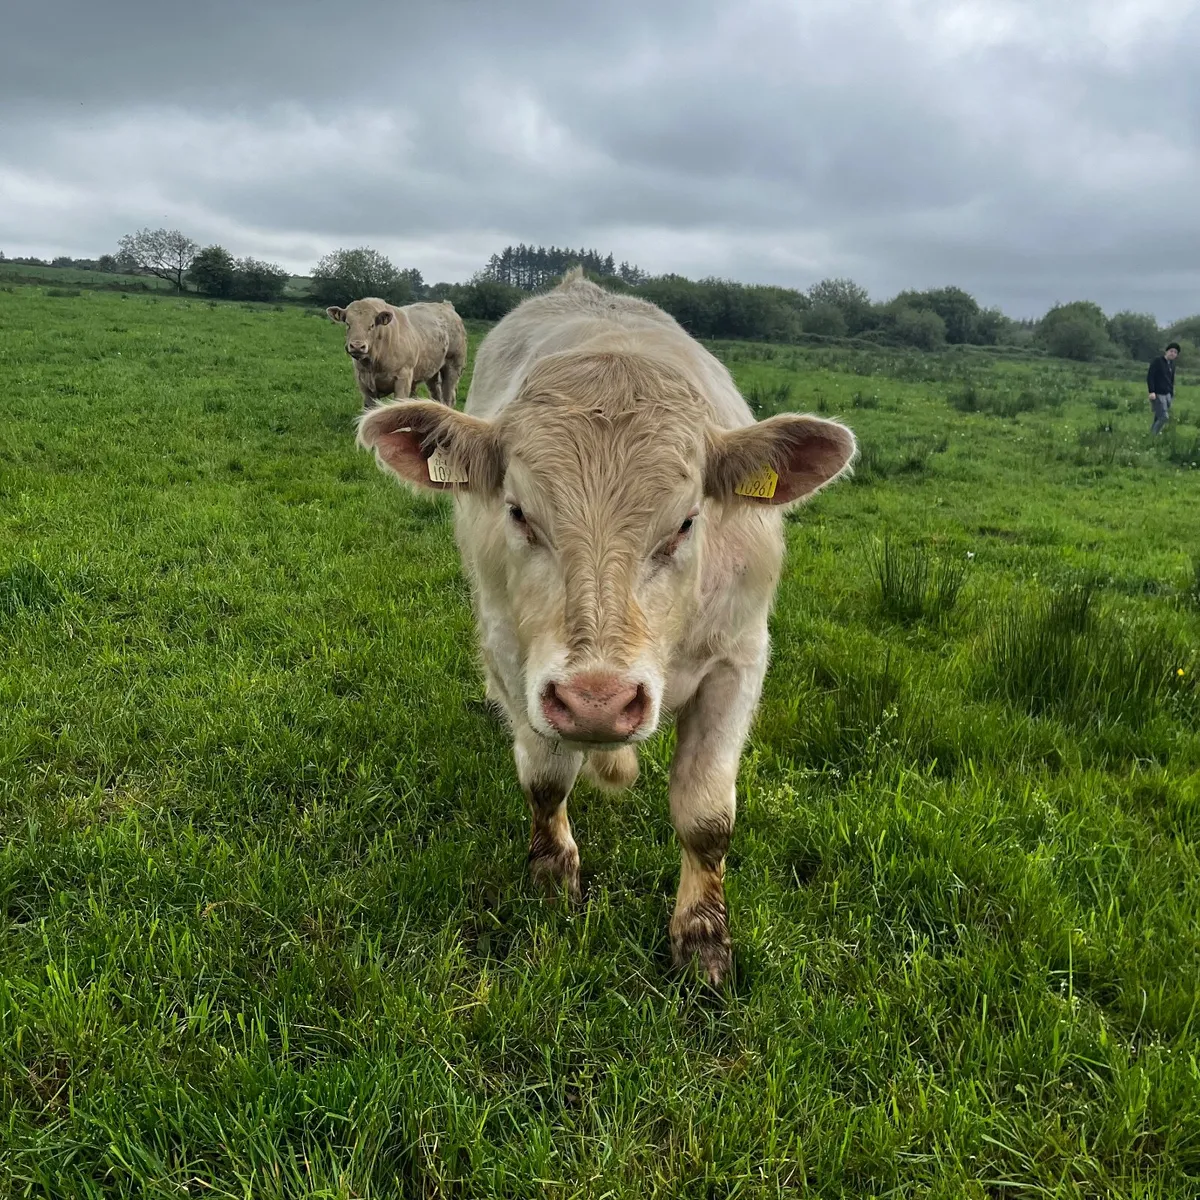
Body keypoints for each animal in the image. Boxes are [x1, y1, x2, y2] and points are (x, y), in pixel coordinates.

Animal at [327, 297, 466, 409]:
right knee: (436, 394)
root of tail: (446, 305)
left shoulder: (403, 378)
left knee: (449, 397)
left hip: (453, 366)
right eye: (348, 324)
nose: (357, 346)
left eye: (372, 325)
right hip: (431, 370)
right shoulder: (364, 383)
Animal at [357, 269, 856, 984]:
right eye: (519, 512)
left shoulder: (739, 658)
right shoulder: (514, 658)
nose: (598, 701)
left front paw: (703, 938)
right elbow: (544, 777)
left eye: (686, 522)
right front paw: (551, 875)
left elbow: (707, 815)